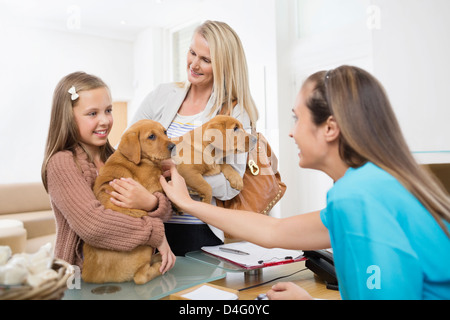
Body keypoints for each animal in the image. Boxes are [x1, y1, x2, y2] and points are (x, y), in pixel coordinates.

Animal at [81, 120, 174, 284]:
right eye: (151, 136)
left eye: (165, 132)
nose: (173, 146)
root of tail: (91, 275)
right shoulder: (152, 181)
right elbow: (161, 175)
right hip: (144, 248)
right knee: (140, 276)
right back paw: (159, 264)